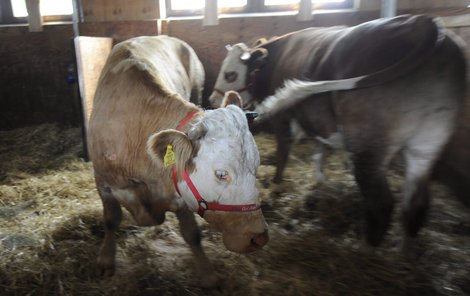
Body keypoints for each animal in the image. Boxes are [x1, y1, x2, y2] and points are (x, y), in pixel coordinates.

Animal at [87, 35, 268, 288]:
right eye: (221, 174)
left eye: (256, 166)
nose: (259, 237)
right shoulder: (103, 181)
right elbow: (111, 220)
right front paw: (105, 260)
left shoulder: (180, 192)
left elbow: (192, 234)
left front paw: (208, 275)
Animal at [208, 15, 466, 256]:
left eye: (230, 74)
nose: (212, 100)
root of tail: (420, 22)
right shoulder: (318, 123)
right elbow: (319, 155)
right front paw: (322, 183)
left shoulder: (284, 119)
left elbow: (283, 155)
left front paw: (276, 188)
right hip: (427, 145)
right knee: (416, 204)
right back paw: (405, 254)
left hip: (369, 145)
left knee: (381, 203)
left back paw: (365, 252)